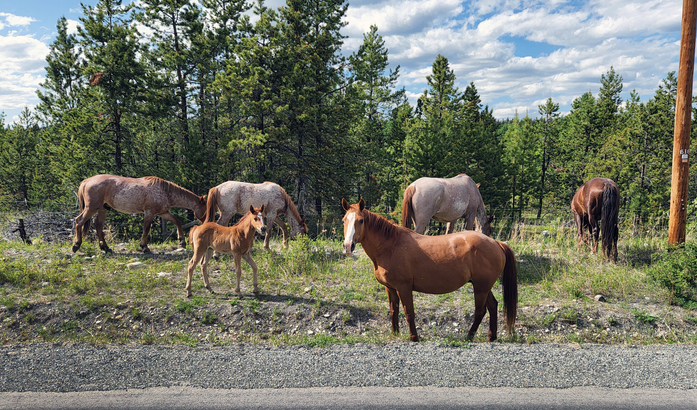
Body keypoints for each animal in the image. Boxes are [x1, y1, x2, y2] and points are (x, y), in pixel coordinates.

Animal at [72, 174, 207, 253]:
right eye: (206, 209)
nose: (207, 222)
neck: (165, 191)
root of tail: (86, 181)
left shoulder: (163, 212)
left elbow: (177, 222)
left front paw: (182, 241)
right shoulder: (149, 213)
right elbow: (146, 229)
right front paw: (144, 247)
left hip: (103, 209)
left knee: (98, 225)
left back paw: (105, 248)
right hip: (91, 208)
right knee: (79, 221)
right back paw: (76, 245)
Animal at [342, 199, 516, 342]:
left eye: (361, 220)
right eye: (344, 220)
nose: (348, 246)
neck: (391, 246)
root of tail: (496, 243)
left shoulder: (404, 288)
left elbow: (408, 312)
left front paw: (414, 338)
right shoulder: (390, 288)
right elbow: (393, 311)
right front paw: (395, 334)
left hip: (480, 287)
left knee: (480, 311)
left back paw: (469, 337)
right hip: (483, 286)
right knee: (493, 306)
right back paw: (491, 337)